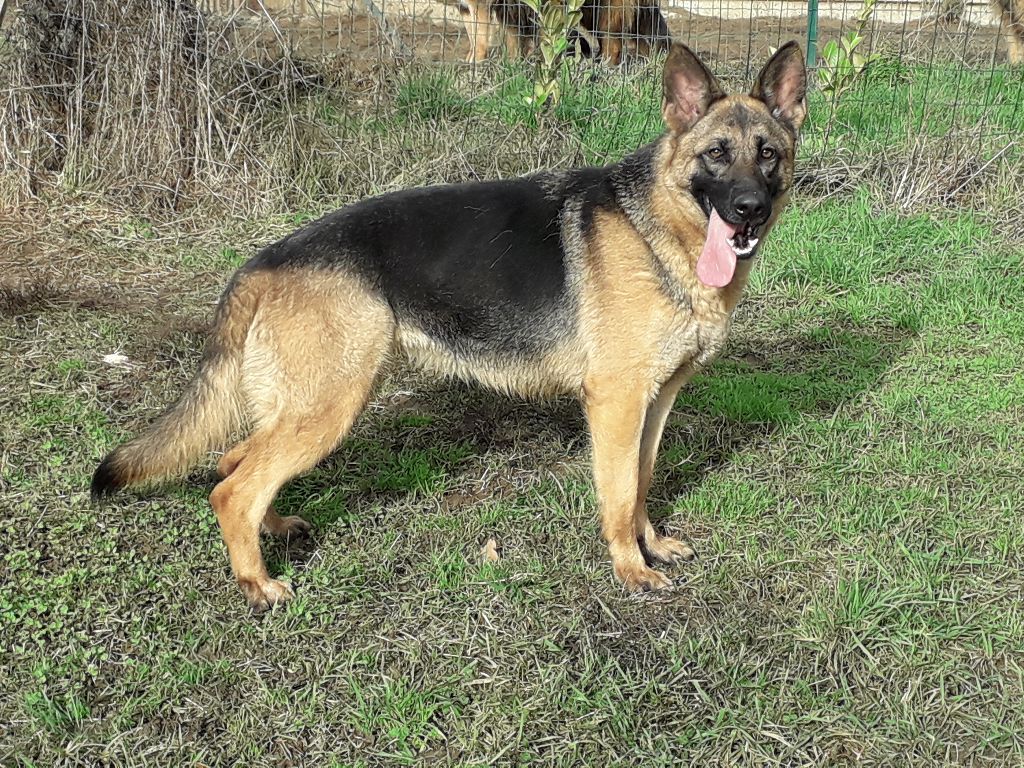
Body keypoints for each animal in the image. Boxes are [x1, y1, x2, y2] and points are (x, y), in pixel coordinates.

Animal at [92, 42, 808, 611]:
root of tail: (264, 261)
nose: (748, 210)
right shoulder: (615, 402)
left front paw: (651, 544)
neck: (657, 226)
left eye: (768, 155)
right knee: (232, 488)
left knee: (233, 463)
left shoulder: (654, 402)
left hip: (303, 405)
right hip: (330, 407)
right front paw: (629, 570)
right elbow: (617, 491)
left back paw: (276, 531)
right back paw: (256, 584)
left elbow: (643, 482)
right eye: (715, 155)